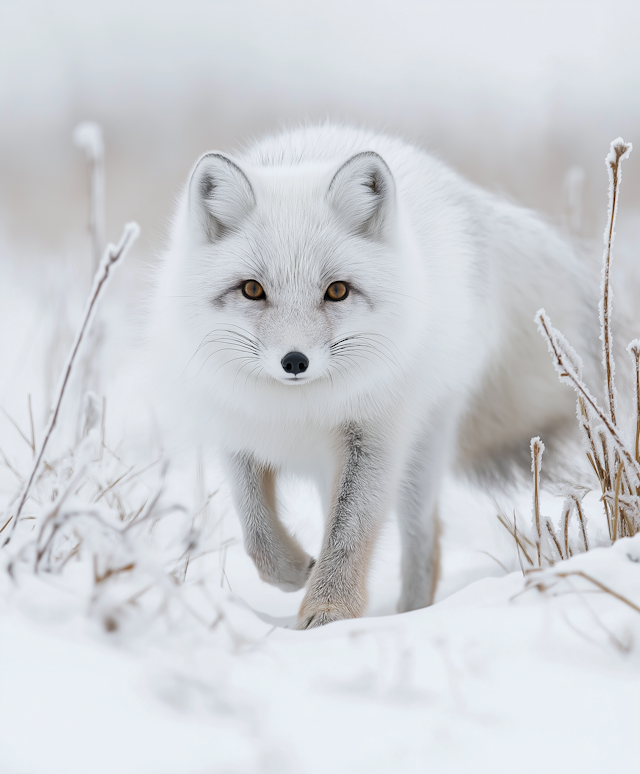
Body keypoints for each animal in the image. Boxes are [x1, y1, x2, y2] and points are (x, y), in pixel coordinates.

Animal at [152, 123, 596, 632]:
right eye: (252, 289)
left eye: (337, 291)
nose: (294, 362)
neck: (296, 410)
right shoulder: (237, 430)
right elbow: (257, 533)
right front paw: (292, 573)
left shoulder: (374, 437)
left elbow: (349, 534)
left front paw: (329, 612)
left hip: (421, 451)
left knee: (424, 532)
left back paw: (414, 613)